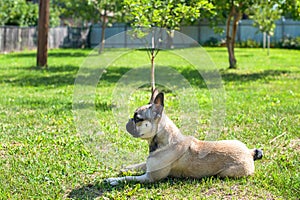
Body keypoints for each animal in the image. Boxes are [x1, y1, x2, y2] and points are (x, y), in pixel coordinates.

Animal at [106, 90, 262, 185]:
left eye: (137, 118)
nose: (129, 120)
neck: (163, 141)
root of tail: (249, 153)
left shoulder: (149, 177)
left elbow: (130, 178)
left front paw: (114, 179)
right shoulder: (148, 166)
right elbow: (139, 164)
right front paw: (126, 168)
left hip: (226, 173)